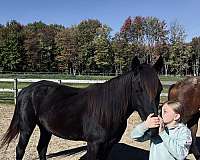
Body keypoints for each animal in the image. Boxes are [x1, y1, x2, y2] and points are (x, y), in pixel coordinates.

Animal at [0, 56, 163, 160]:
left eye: (160, 89)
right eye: (138, 89)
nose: (153, 129)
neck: (108, 112)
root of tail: (27, 89)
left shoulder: (108, 147)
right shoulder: (94, 145)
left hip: (45, 128)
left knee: (41, 149)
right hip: (26, 128)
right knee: (20, 150)